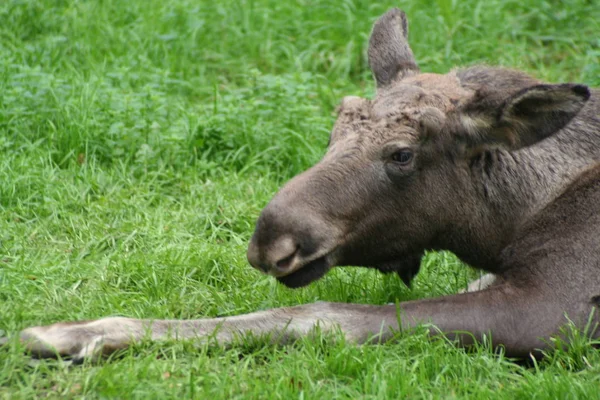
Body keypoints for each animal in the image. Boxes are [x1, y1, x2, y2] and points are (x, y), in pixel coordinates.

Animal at [5, 9, 600, 360]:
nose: (271, 239)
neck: (511, 220)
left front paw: (78, 334)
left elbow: (323, 316)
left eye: (402, 155)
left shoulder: (555, 310)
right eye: (337, 124)